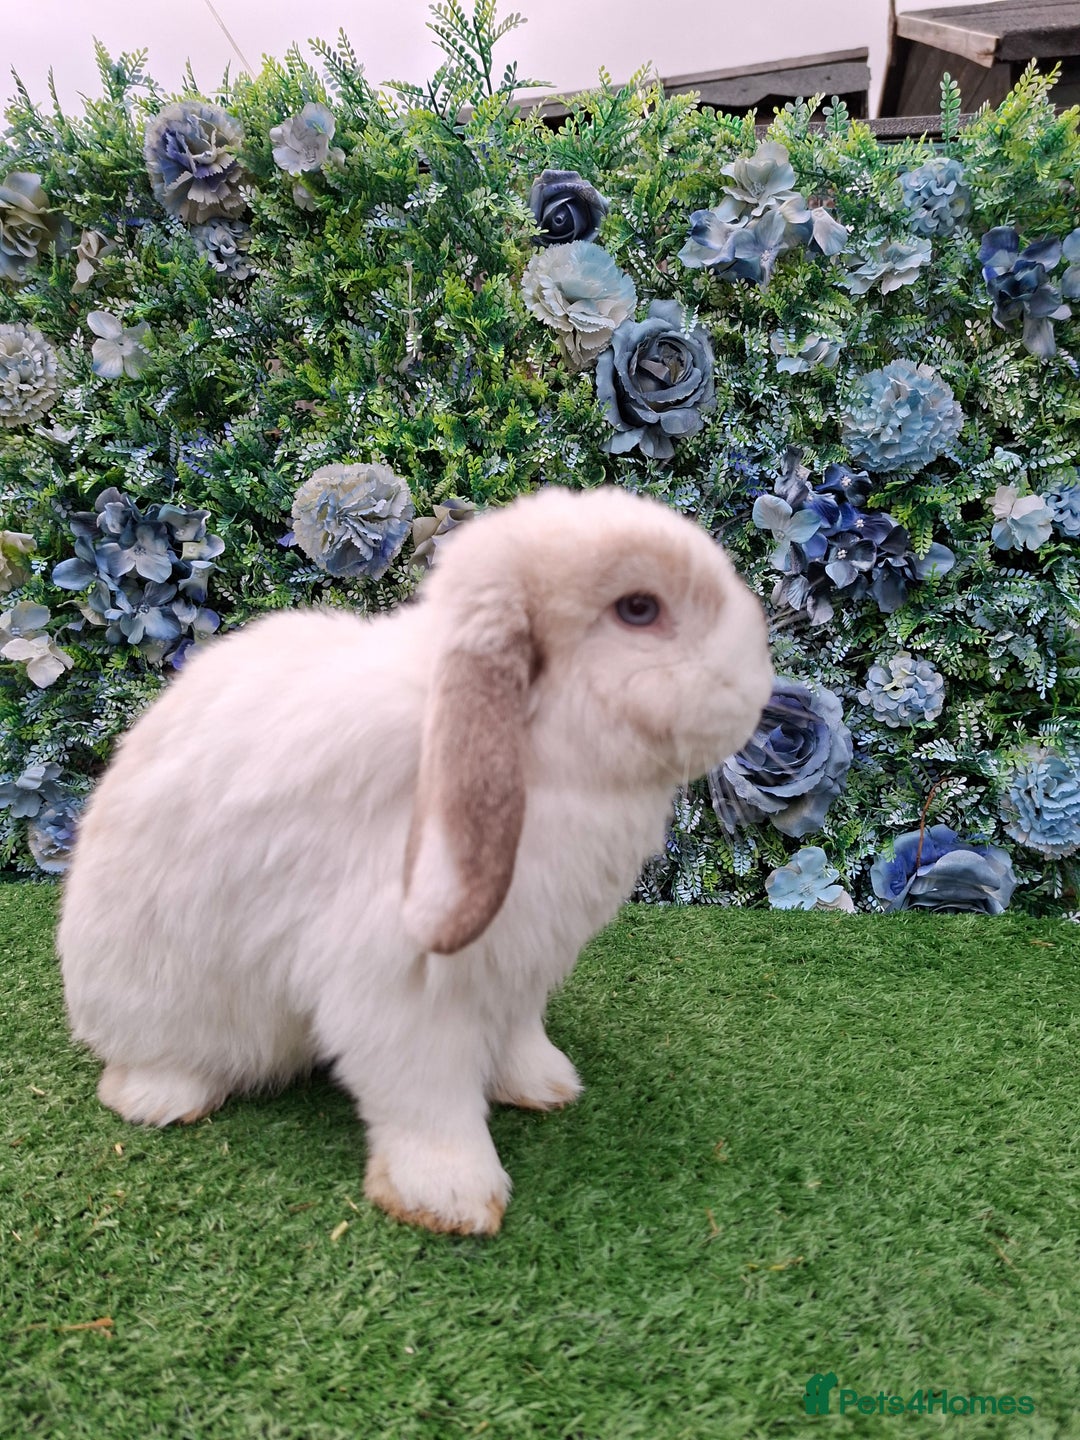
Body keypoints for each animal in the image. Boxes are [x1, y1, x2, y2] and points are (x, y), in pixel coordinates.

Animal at [58, 485, 773, 1236]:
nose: (757, 691)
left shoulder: (518, 966)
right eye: (639, 609)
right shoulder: (397, 989)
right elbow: (427, 1097)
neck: (544, 756)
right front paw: (452, 1198)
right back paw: (163, 1100)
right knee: (141, 1068)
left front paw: (544, 1085)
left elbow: (515, 1037)